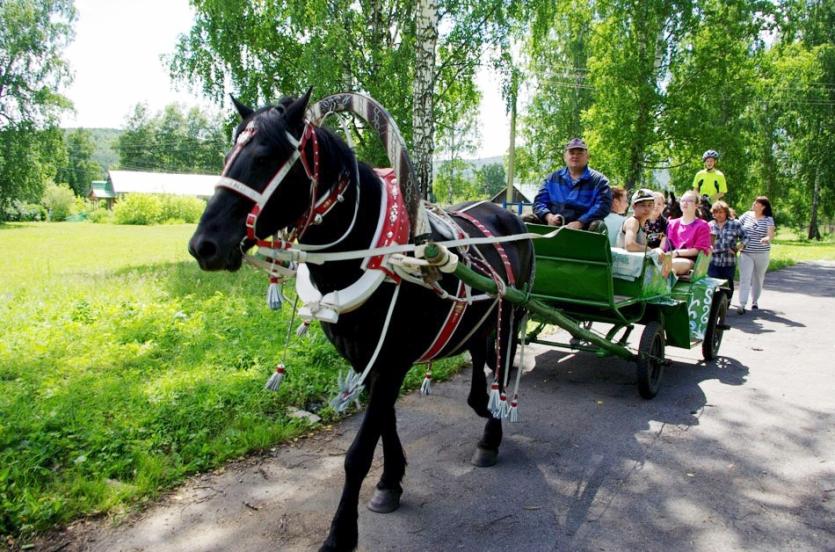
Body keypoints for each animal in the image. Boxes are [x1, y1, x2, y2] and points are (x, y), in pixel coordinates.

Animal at [188, 91, 536, 552]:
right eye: (228, 155)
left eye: (263, 157)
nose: (203, 245)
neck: (376, 253)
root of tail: (509, 214)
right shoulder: (365, 360)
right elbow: (384, 424)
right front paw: (390, 482)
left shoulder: (392, 360)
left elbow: (358, 452)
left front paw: (340, 533)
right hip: (484, 316)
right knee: (483, 360)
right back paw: (482, 406)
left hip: (510, 316)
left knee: (502, 365)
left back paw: (491, 434)